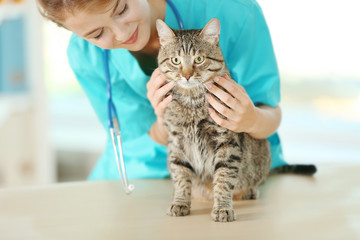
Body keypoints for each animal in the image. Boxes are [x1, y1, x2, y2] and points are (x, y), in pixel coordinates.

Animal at [156, 17, 314, 222]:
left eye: (199, 59)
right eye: (176, 60)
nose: (187, 75)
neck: (192, 103)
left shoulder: (226, 143)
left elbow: (223, 179)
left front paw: (222, 207)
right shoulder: (176, 143)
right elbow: (181, 175)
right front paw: (180, 202)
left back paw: (249, 191)